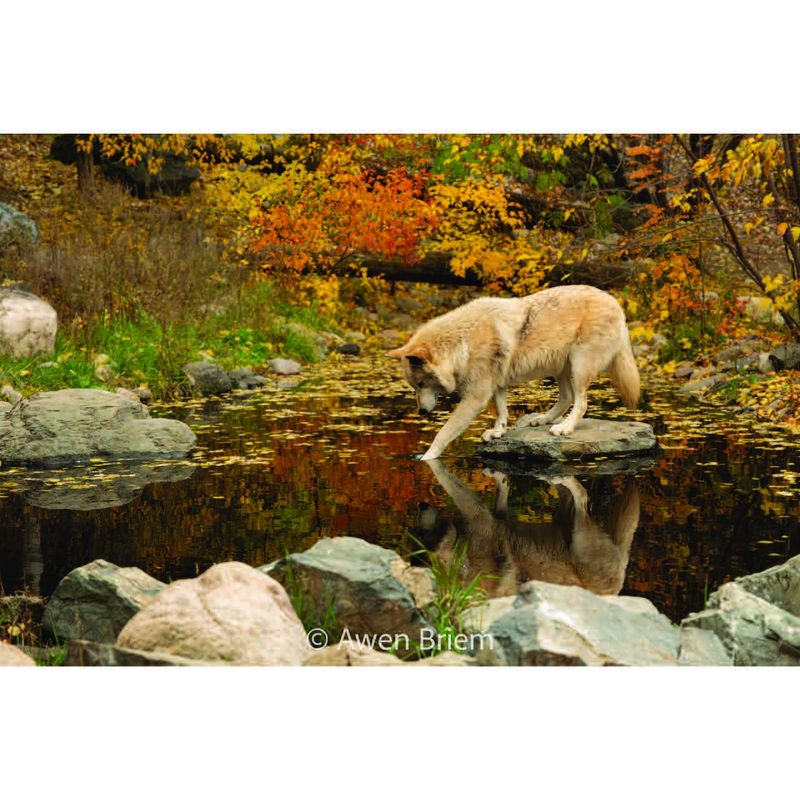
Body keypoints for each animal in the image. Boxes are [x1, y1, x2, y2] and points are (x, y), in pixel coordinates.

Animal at [384, 282, 640, 460]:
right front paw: (498, 432)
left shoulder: (475, 398)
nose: (421, 412)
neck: (462, 342)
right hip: (560, 370)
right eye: (414, 386)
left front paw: (426, 458)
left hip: (579, 366)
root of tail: (616, 303)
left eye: (421, 384)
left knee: (582, 402)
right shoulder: (497, 384)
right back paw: (542, 419)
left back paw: (564, 428)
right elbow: (501, 410)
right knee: (567, 397)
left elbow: (443, 433)